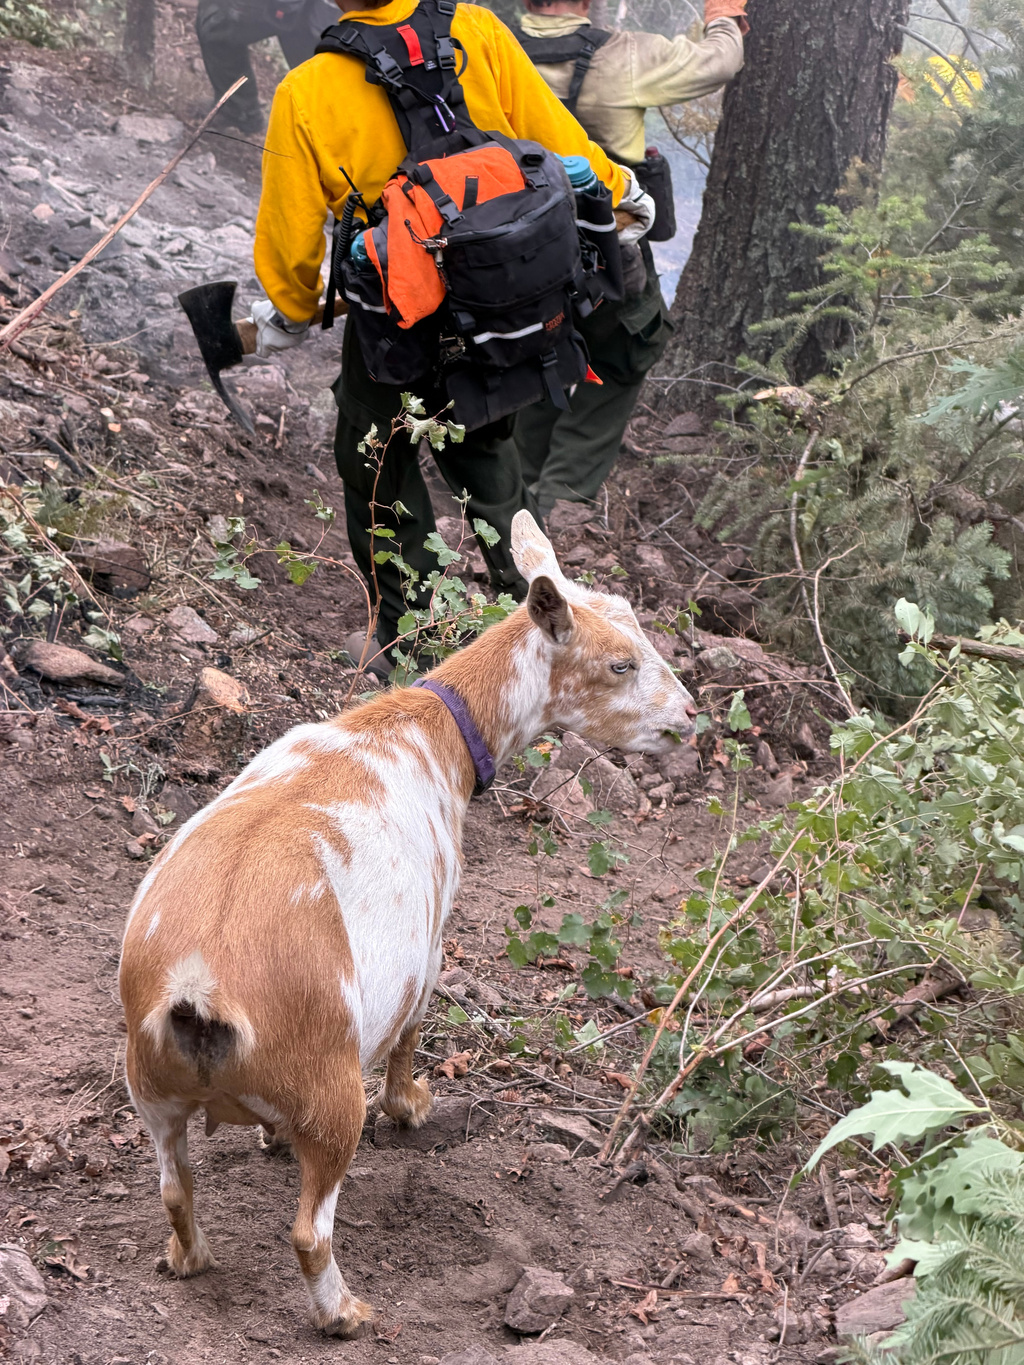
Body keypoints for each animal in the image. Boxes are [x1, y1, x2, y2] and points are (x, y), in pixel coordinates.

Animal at [119, 511, 697, 1337]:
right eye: (621, 663)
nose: (689, 715)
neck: (426, 731)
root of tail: (200, 985)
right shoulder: (427, 943)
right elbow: (411, 1033)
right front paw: (415, 1106)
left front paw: (267, 1135)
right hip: (332, 1097)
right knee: (310, 1228)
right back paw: (345, 1312)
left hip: (150, 1089)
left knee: (174, 1184)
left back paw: (188, 1258)